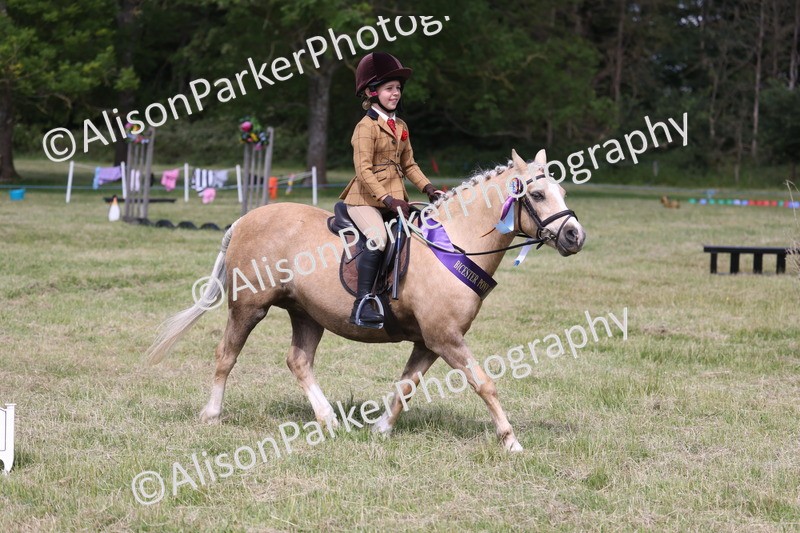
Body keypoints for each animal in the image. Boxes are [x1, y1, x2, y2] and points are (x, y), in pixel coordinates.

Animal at [146, 149, 586, 452]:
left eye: (562, 190)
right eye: (538, 194)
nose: (574, 236)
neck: (453, 243)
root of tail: (245, 219)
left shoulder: (429, 341)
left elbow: (407, 385)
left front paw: (381, 430)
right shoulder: (445, 338)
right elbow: (484, 383)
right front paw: (511, 441)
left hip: (307, 314)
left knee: (298, 361)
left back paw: (328, 421)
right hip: (248, 308)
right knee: (226, 356)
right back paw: (212, 415)